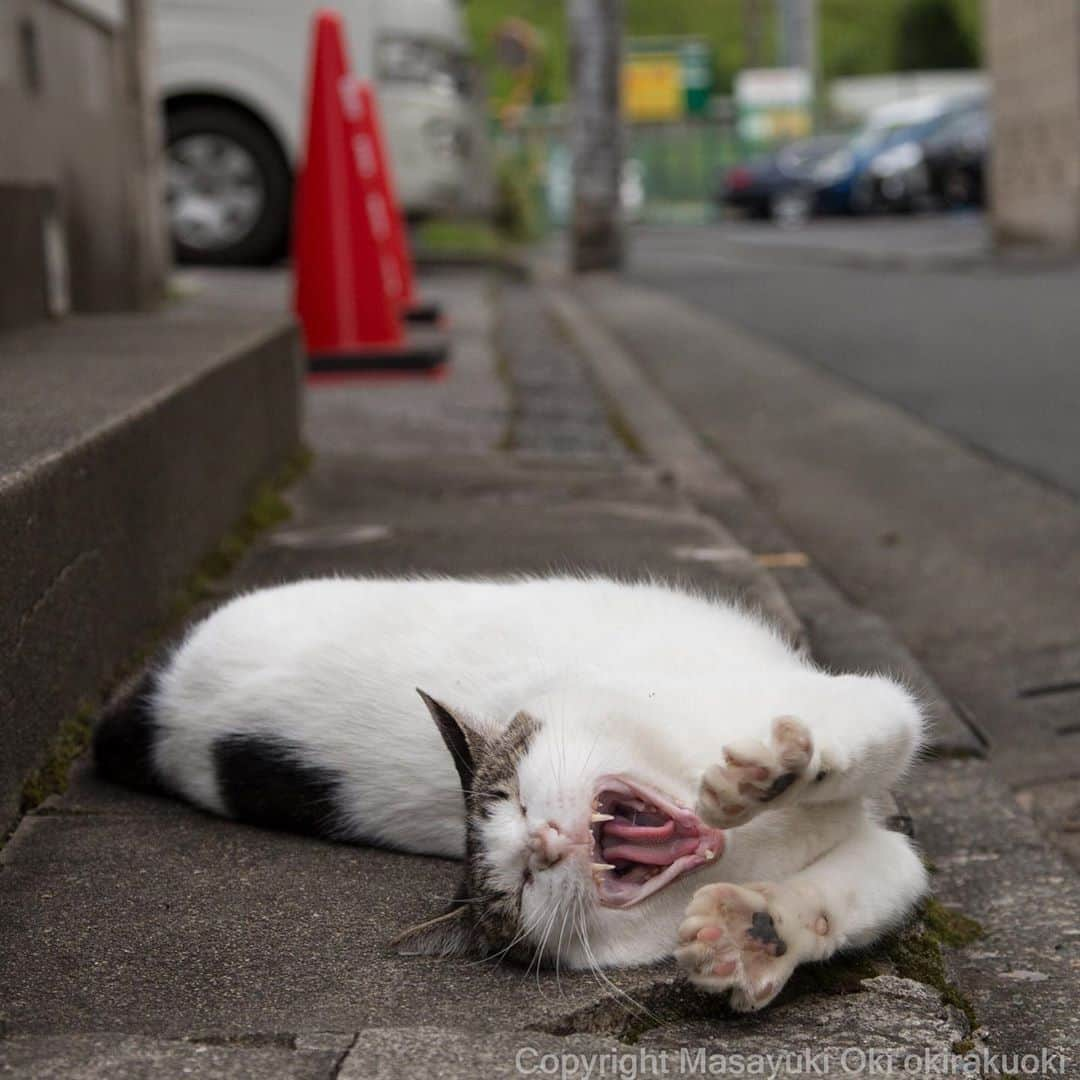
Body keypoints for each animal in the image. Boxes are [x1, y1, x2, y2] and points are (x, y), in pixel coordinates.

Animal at [95, 578, 928, 1006]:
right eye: (521, 884)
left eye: (517, 801)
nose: (542, 840)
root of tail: (154, 708)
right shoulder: (886, 854)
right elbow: (841, 898)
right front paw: (752, 932)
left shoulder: (836, 710)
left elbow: (872, 735)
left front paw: (774, 771)